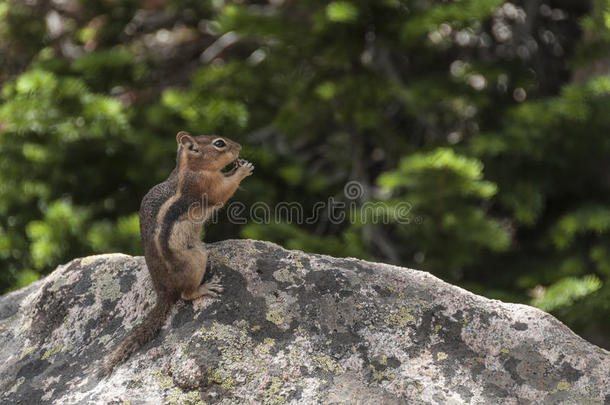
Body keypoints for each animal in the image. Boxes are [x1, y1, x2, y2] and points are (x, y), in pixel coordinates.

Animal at [101, 131, 253, 374]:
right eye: (219, 143)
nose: (239, 147)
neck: (190, 167)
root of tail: (164, 291)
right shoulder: (206, 185)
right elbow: (223, 192)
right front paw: (242, 170)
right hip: (196, 259)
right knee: (186, 295)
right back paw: (204, 288)